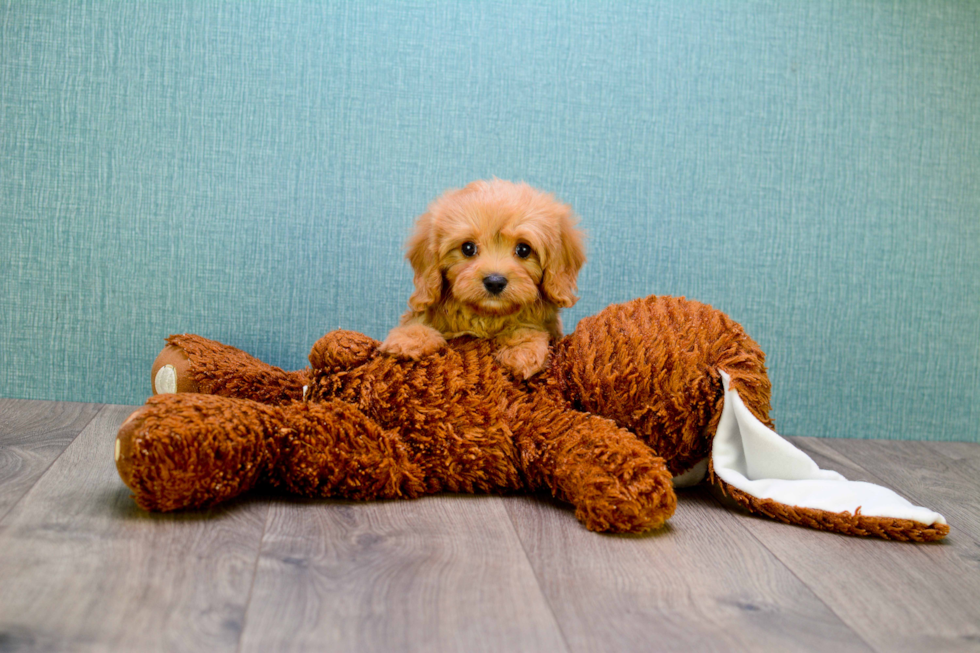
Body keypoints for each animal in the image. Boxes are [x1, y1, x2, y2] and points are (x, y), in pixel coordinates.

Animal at [378, 178, 584, 380]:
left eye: (524, 249)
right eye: (468, 248)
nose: (495, 282)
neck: (486, 316)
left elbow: (528, 327)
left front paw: (524, 349)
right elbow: (416, 320)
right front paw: (408, 339)